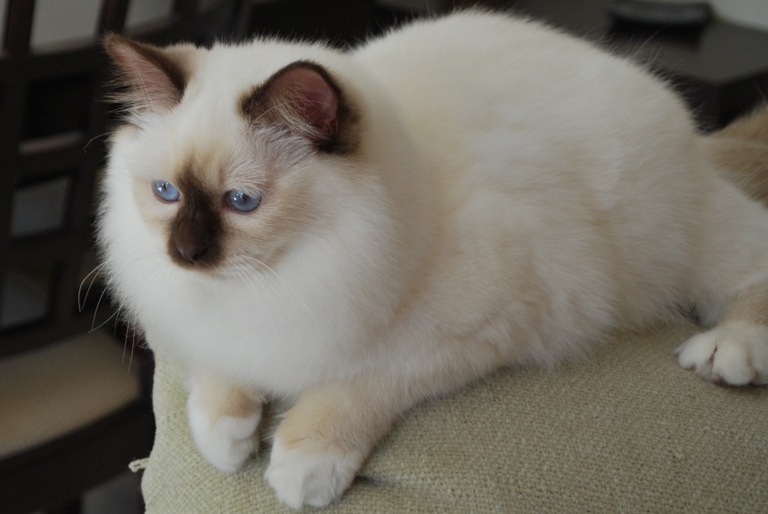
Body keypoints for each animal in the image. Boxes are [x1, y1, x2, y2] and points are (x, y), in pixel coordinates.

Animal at [97, 8, 768, 508]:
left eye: (241, 202)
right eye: (166, 193)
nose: (183, 254)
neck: (288, 277)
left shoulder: (467, 336)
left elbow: (359, 387)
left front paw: (302, 467)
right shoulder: (195, 324)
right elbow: (216, 376)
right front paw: (229, 439)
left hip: (682, 239)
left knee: (749, 267)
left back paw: (724, 355)